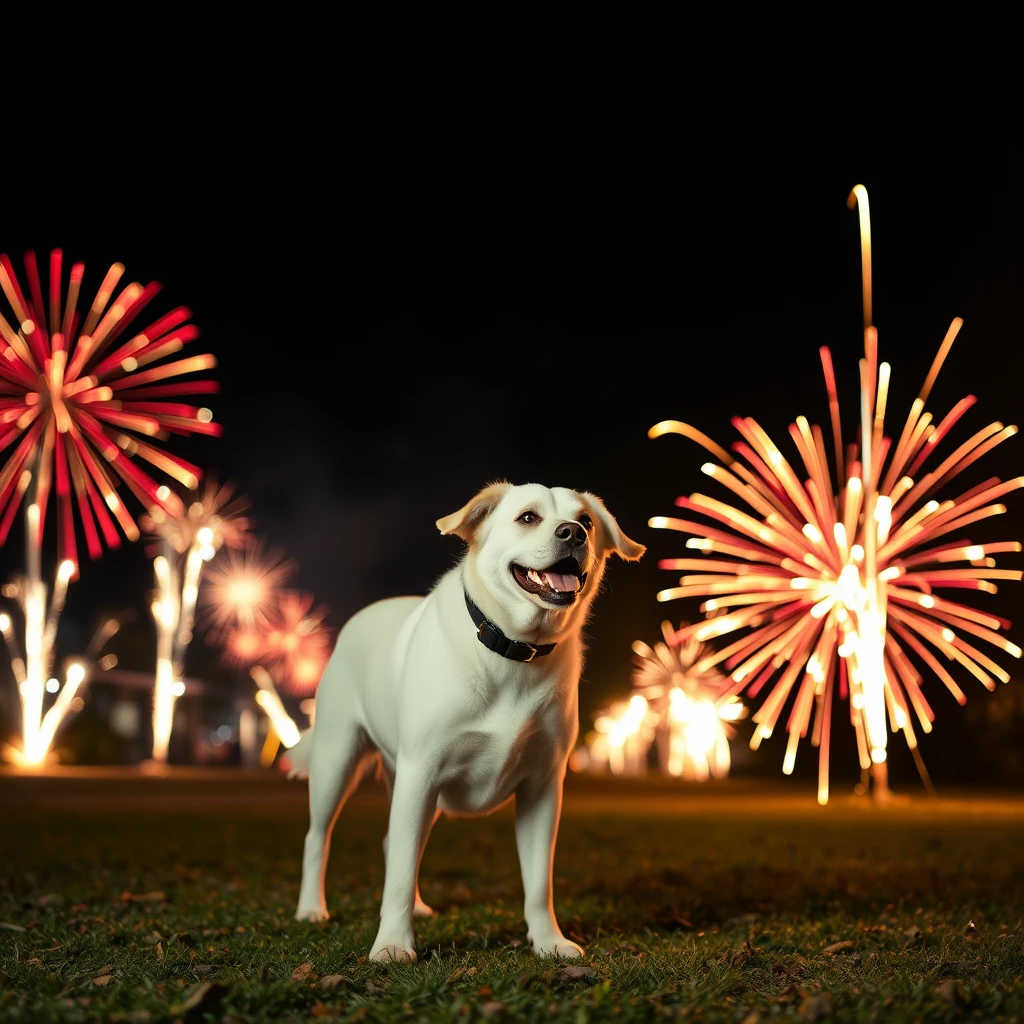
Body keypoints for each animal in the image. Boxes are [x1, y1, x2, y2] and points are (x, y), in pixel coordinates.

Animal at [286, 479, 638, 958]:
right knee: (318, 838)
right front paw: (392, 945)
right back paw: (311, 909)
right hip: (338, 761)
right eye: (528, 517)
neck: (513, 649)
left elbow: (538, 882)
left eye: (585, 520)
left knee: (397, 844)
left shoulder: (543, 786)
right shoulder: (421, 771)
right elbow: (397, 875)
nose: (573, 533)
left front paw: (548, 940)